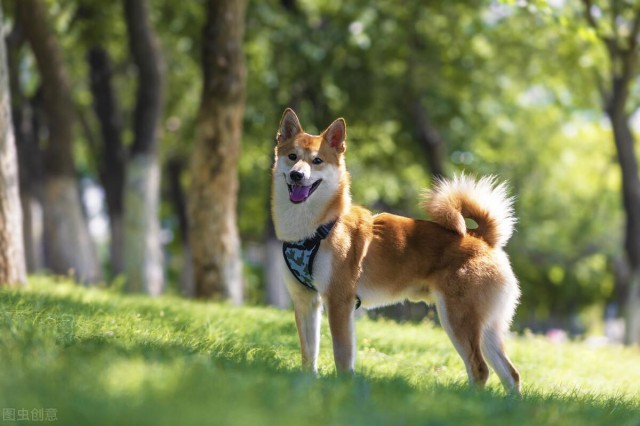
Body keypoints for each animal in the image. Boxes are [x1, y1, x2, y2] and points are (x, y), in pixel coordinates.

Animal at [270, 108, 520, 394]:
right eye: (292, 157)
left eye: (317, 161)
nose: (297, 175)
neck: (316, 229)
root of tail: (482, 238)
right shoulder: (306, 301)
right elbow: (308, 354)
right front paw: (306, 387)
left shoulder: (339, 301)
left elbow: (342, 355)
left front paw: (343, 389)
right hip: (486, 327)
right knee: (511, 374)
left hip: (458, 318)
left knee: (480, 369)